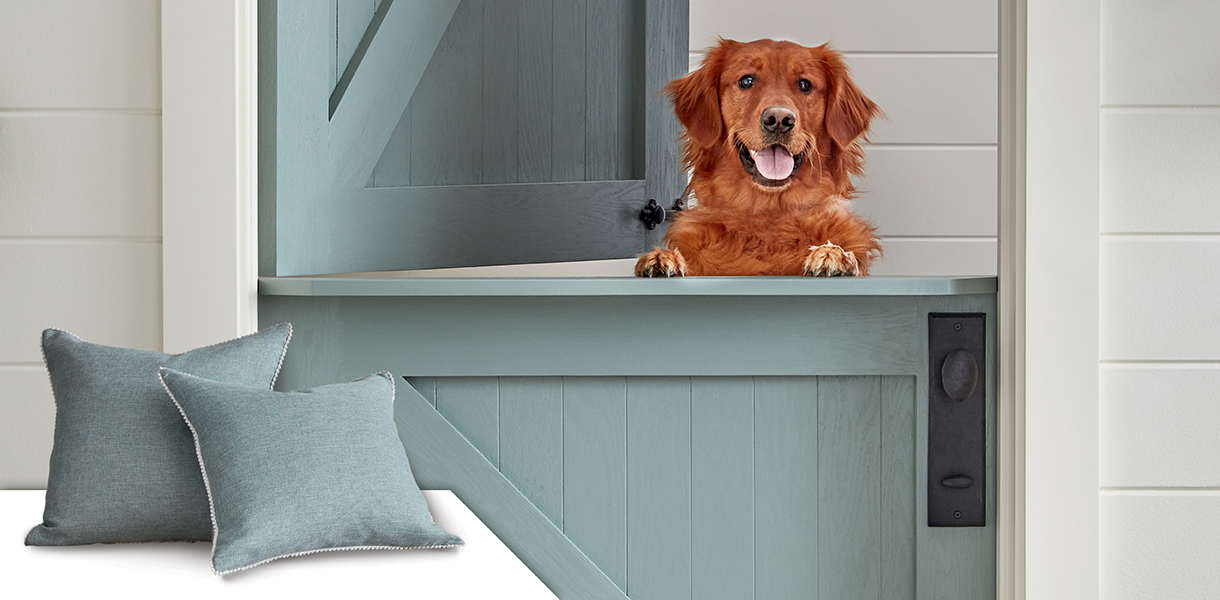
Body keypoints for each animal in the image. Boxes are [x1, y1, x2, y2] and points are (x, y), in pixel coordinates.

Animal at [634, 38, 883, 278]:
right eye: (746, 81)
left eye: (804, 85)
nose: (779, 120)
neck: (767, 214)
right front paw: (663, 258)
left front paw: (833, 254)